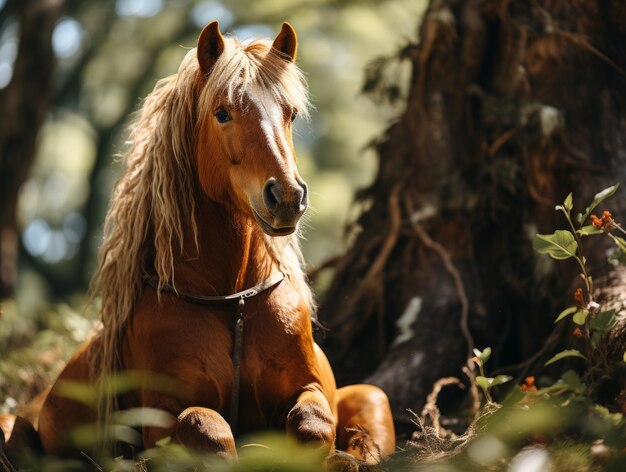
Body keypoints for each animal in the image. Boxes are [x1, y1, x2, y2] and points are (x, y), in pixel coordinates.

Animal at [0, 19, 390, 468]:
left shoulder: (308, 389)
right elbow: (206, 428)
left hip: (372, 395)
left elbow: (312, 423)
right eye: (222, 113)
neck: (234, 302)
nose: (288, 197)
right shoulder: (163, 413)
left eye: (291, 114)